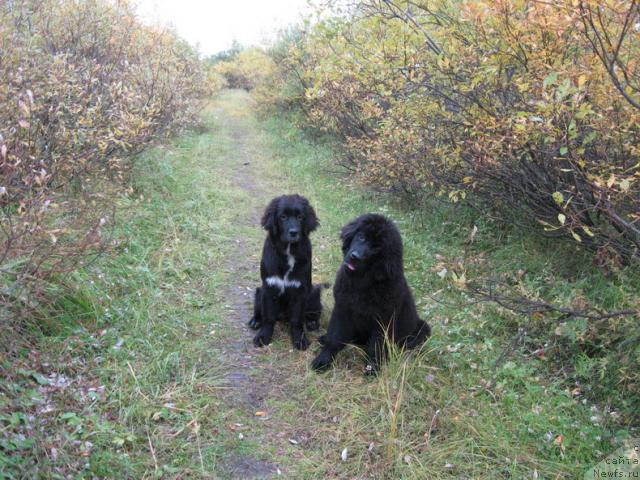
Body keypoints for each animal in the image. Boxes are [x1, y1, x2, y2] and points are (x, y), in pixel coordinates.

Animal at [248, 194, 322, 348]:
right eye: (282, 217)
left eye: (300, 217)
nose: (294, 232)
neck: (288, 251)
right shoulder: (269, 287)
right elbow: (269, 317)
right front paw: (263, 336)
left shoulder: (300, 291)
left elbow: (297, 320)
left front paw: (299, 339)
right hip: (259, 291)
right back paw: (255, 320)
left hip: (314, 293)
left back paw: (312, 322)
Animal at [310, 214, 430, 376]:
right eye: (361, 236)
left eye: (377, 248)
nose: (355, 256)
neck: (361, 283)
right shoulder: (342, 309)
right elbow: (334, 337)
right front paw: (324, 359)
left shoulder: (383, 321)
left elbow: (375, 347)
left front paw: (372, 367)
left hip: (422, 329)